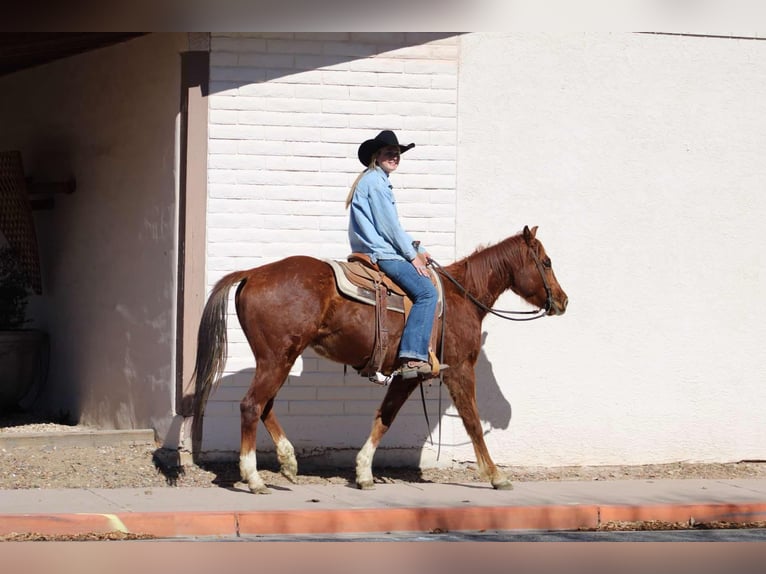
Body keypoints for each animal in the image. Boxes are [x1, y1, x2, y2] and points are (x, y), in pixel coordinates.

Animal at [191, 225, 568, 493]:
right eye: (547, 262)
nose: (563, 300)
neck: (462, 297)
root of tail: (253, 273)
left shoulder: (409, 376)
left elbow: (385, 417)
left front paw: (363, 471)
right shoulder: (460, 370)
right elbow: (472, 422)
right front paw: (495, 475)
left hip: (277, 359)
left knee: (264, 405)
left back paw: (288, 461)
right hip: (276, 359)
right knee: (252, 405)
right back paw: (254, 478)